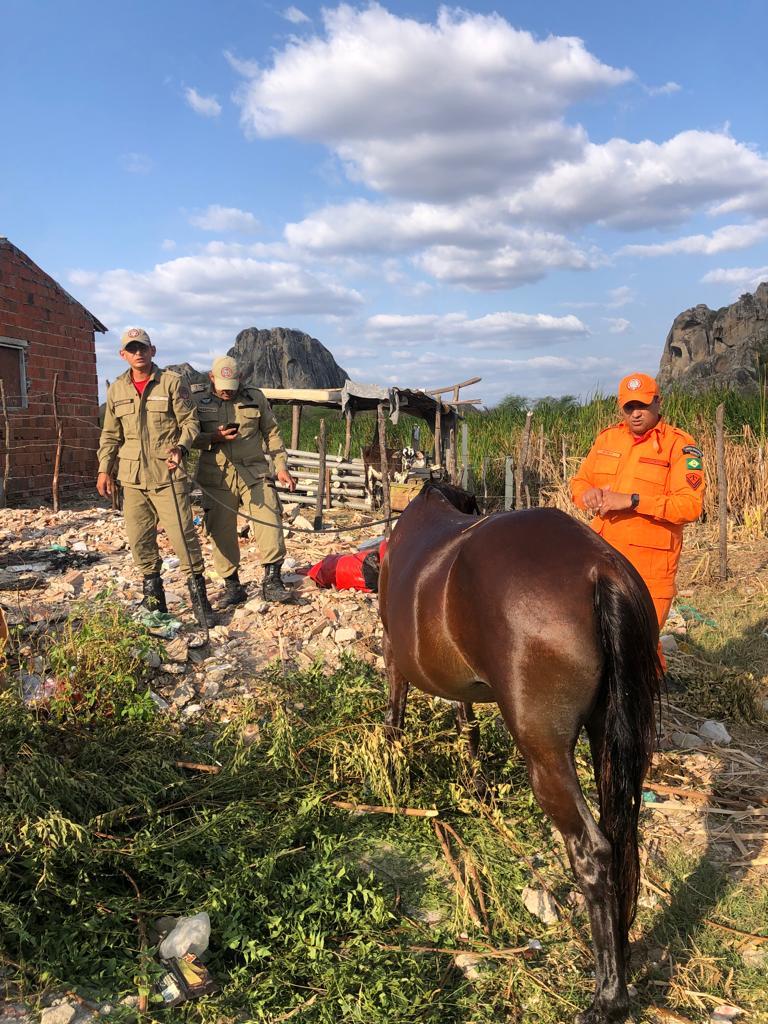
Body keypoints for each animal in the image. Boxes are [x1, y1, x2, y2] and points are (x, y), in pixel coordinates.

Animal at [378, 481, 663, 1024]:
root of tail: (598, 568)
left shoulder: (393, 657)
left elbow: (395, 718)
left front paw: (391, 775)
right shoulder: (464, 682)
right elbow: (465, 721)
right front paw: (476, 789)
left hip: (546, 755)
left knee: (594, 851)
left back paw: (607, 997)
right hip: (609, 741)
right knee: (621, 838)